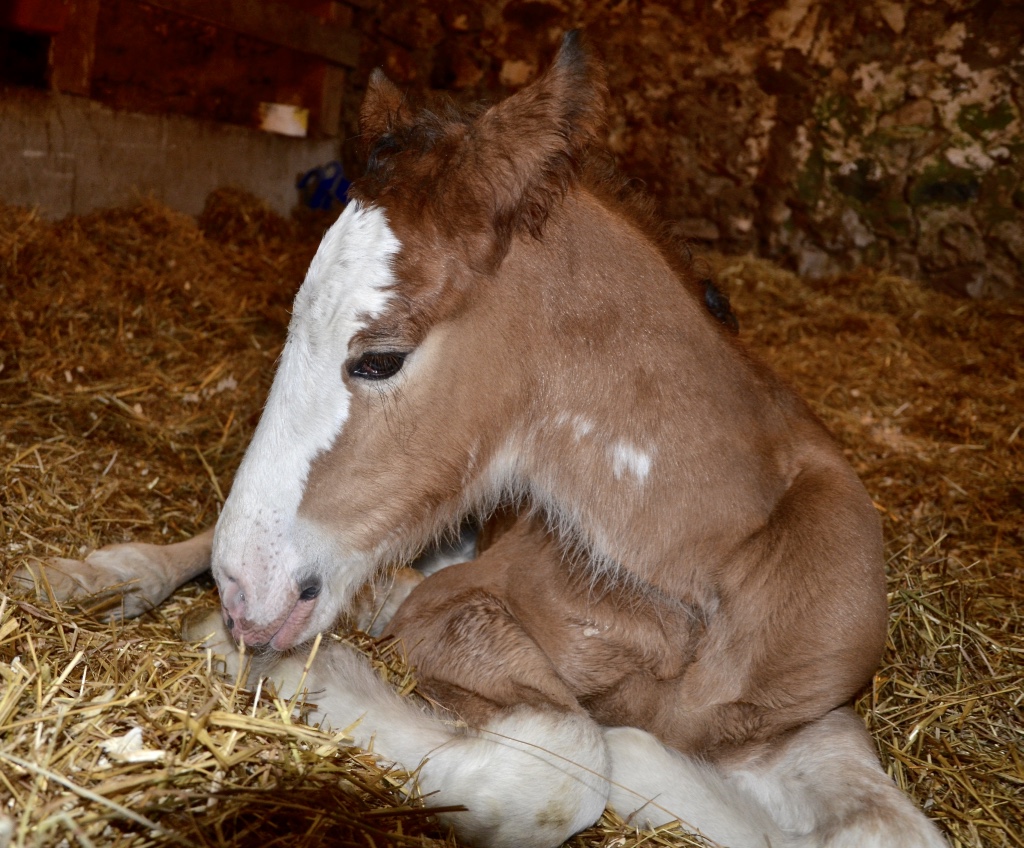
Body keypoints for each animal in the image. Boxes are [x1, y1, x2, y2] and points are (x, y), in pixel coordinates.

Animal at [16, 33, 942, 847]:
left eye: (380, 358)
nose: (249, 594)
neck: (696, 580)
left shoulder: (811, 715)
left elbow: (885, 829)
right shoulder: (459, 606)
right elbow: (569, 758)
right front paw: (278, 661)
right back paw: (90, 578)